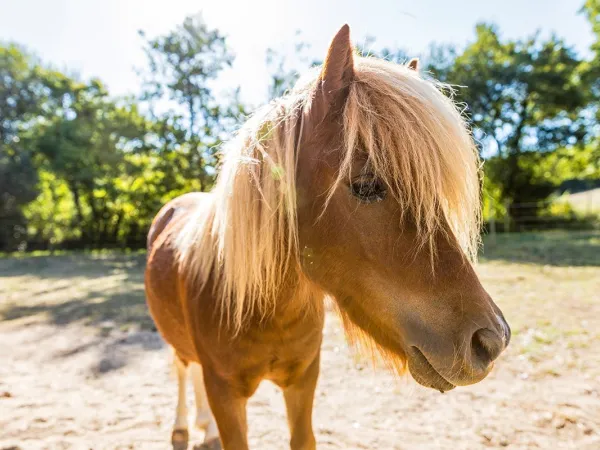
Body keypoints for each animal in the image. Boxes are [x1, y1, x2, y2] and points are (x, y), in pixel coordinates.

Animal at [144, 25, 506, 450]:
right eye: (366, 186)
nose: (493, 341)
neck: (261, 309)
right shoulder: (226, 395)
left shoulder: (304, 382)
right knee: (183, 369)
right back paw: (186, 426)